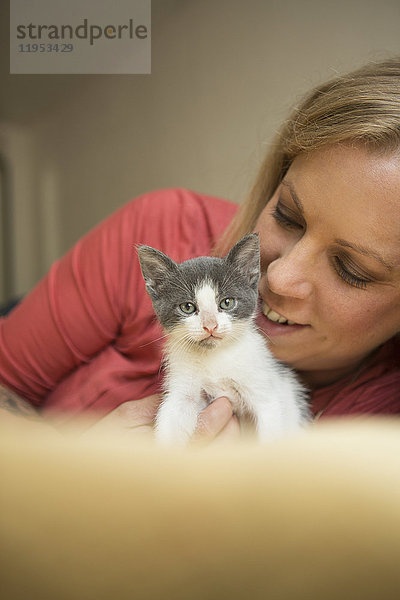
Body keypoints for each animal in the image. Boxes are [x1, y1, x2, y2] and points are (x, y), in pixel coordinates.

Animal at [138, 234, 310, 446]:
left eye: (227, 302)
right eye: (187, 307)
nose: (210, 325)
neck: (216, 356)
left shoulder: (265, 392)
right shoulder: (182, 390)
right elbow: (172, 418)